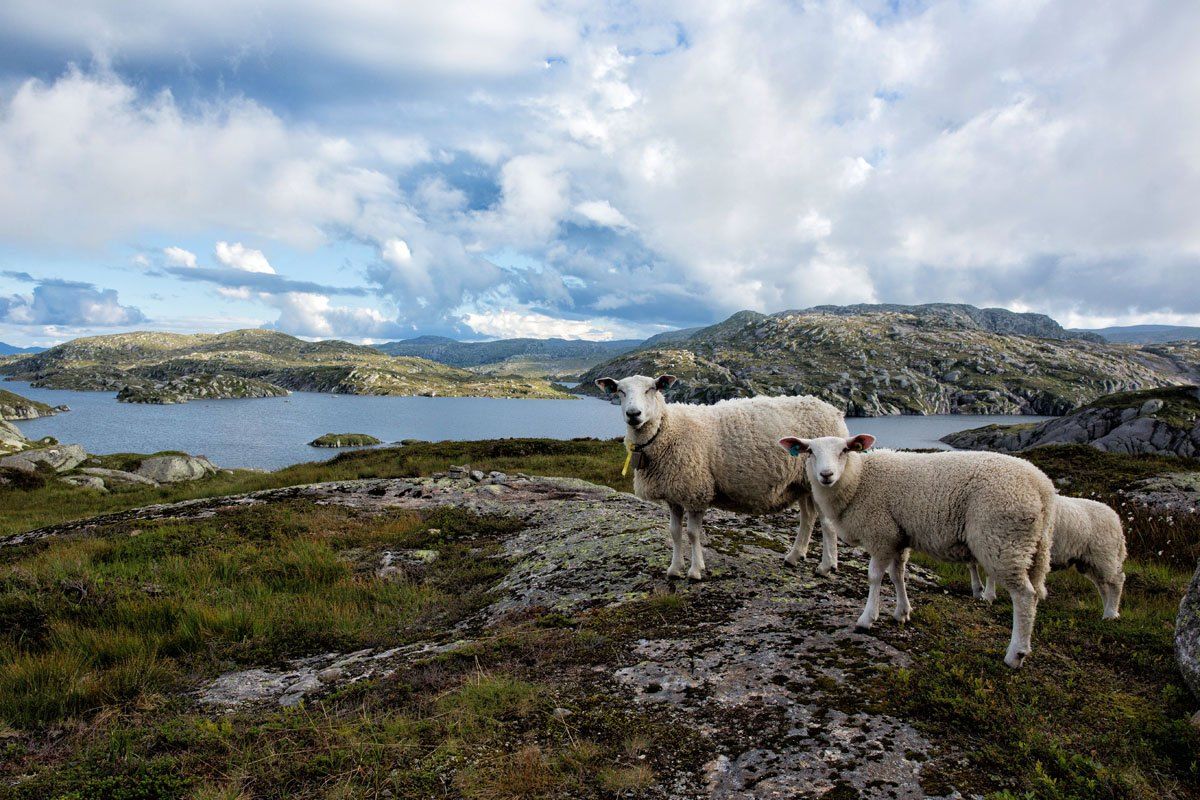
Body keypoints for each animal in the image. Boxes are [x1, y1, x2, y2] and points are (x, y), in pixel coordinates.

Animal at [597, 371, 844, 578]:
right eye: (620, 391)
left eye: (652, 389)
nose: (633, 414)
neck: (666, 429)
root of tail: (833, 411)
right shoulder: (673, 493)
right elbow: (674, 532)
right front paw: (675, 569)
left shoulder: (696, 490)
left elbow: (692, 533)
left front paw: (695, 571)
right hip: (802, 482)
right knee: (808, 517)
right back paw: (794, 556)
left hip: (820, 478)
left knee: (827, 523)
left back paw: (826, 566)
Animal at [777, 434, 1051, 666]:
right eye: (810, 451)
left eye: (844, 450)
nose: (826, 475)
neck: (859, 480)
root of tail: (1042, 486)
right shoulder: (898, 537)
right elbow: (897, 575)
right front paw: (902, 612)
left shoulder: (881, 534)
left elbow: (874, 576)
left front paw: (867, 618)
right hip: (1034, 548)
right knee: (1036, 593)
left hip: (1003, 539)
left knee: (1024, 596)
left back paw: (1015, 654)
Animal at [969, 496, 1128, 623]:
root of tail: (1116, 519)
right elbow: (973, 566)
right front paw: (981, 592)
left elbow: (989, 572)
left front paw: (988, 596)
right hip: (1089, 562)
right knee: (1103, 586)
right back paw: (1109, 610)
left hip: (1104, 555)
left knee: (1117, 581)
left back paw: (1110, 614)